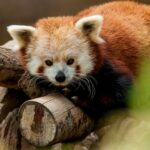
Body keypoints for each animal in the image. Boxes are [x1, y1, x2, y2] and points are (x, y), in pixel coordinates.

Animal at [6, 1, 150, 118]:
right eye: (48, 62)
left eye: (70, 61)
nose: (60, 77)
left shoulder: (110, 64)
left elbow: (127, 94)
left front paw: (82, 100)